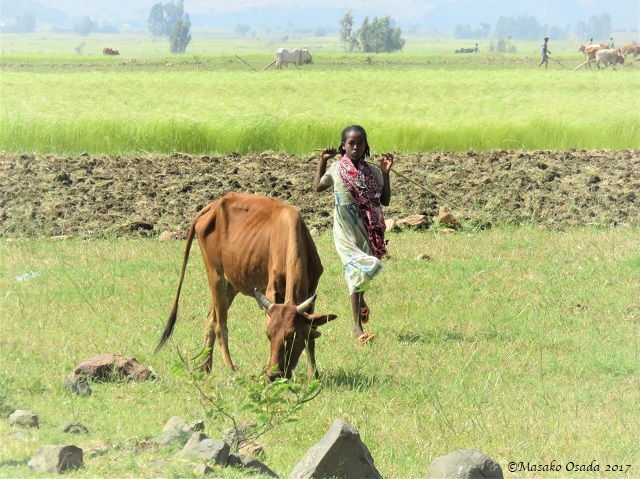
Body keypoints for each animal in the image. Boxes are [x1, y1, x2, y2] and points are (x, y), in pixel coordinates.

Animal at [155, 192, 337, 381]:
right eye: (268, 335)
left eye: (293, 335)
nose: (273, 374)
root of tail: (213, 205)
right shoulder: (271, 291)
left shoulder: (312, 291)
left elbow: (311, 335)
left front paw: (313, 373)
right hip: (216, 276)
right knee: (220, 325)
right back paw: (230, 368)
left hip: (231, 285)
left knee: (211, 317)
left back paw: (205, 366)